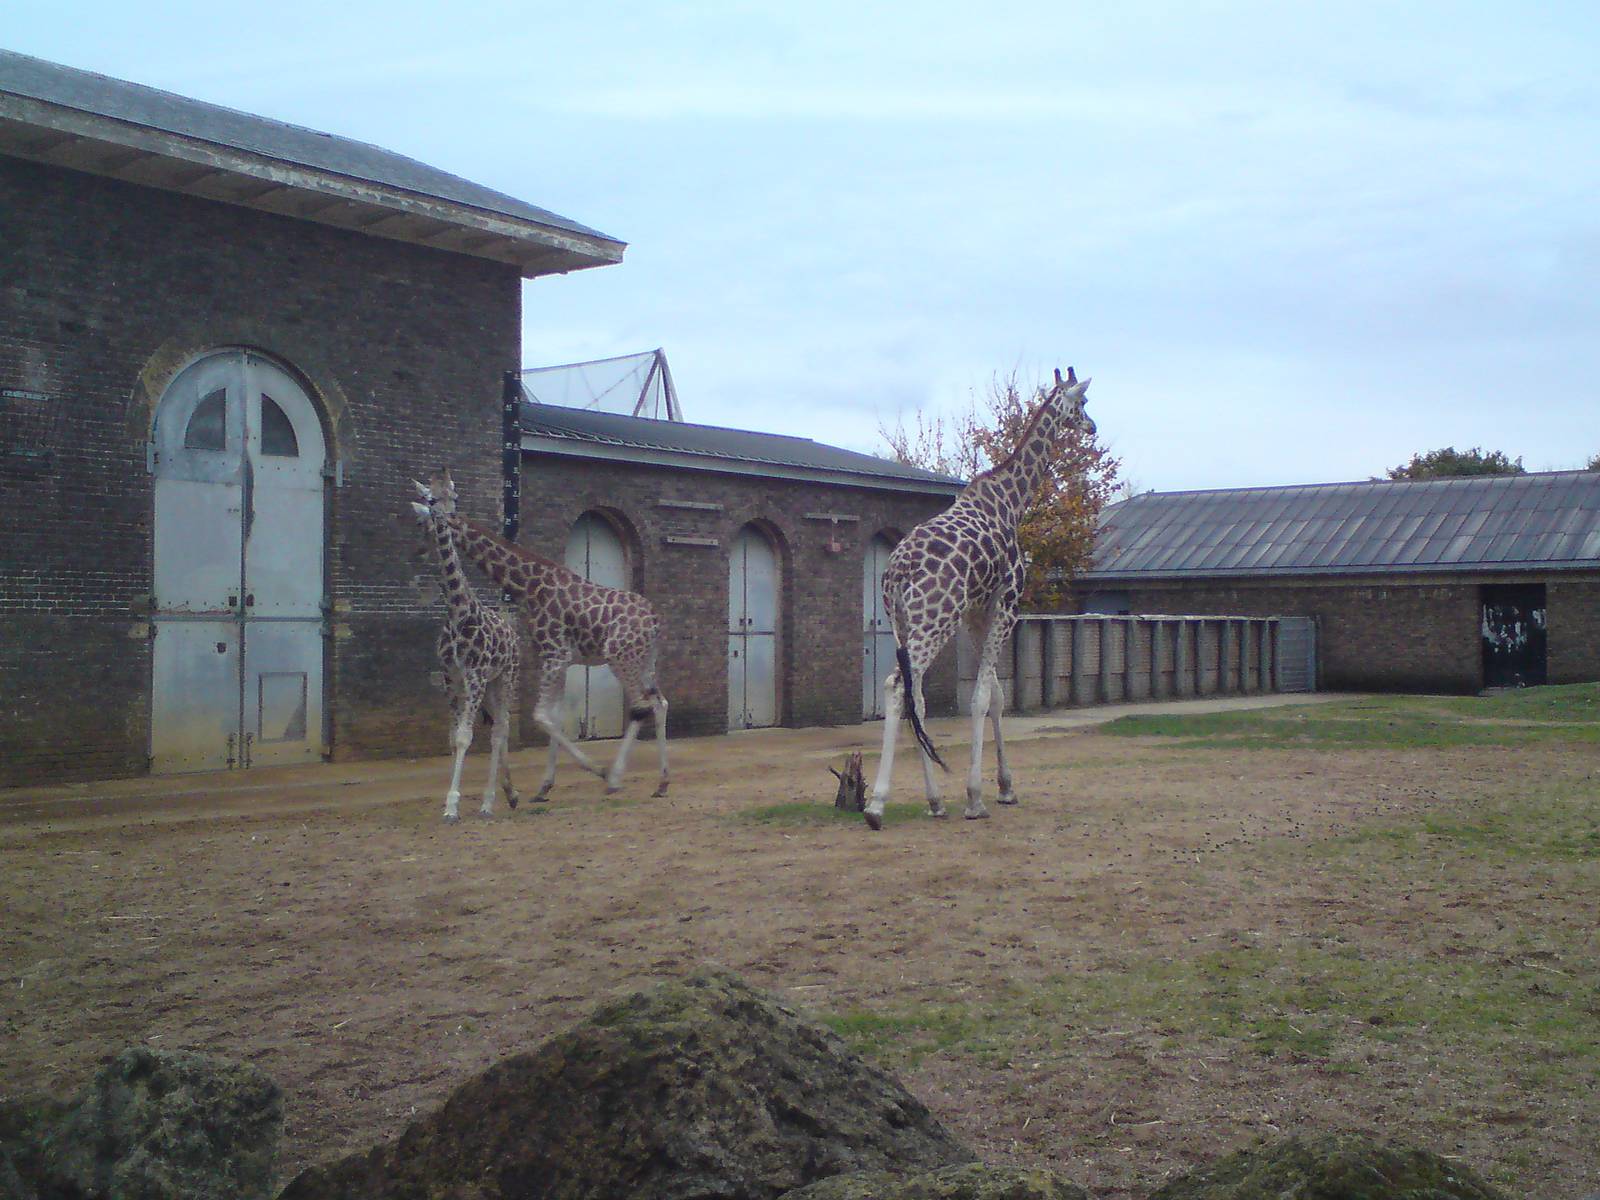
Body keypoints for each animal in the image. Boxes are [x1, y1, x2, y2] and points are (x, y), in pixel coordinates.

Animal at [410, 471, 522, 823]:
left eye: (454, 497)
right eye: (431, 498)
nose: (446, 516)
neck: (459, 612)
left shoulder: (474, 675)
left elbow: (464, 736)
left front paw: (452, 805)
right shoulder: (452, 678)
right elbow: (453, 736)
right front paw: (450, 804)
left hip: (504, 678)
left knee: (501, 729)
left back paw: (489, 802)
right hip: (487, 685)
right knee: (497, 728)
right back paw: (509, 794)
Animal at [438, 483, 670, 801]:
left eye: (432, 501)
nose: (435, 523)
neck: (530, 586)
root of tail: (656, 621)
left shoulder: (554, 655)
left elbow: (541, 716)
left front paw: (591, 772)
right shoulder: (561, 659)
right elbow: (555, 717)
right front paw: (544, 786)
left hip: (621, 658)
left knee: (640, 706)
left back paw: (615, 778)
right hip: (645, 661)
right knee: (659, 703)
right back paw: (661, 782)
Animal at [864, 367, 1094, 831]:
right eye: (1081, 404)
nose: (1092, 427)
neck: (1011, 502)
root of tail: (896, 573)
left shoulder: (976, 612)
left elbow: (998, 696)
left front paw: (1005, 787)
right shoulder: (1007, 602)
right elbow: (984, 695)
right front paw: (976, 797)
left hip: (904, 623)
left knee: (914, 695)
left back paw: (935, 801)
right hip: (934, 620)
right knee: (897, 687)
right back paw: (876, 806)